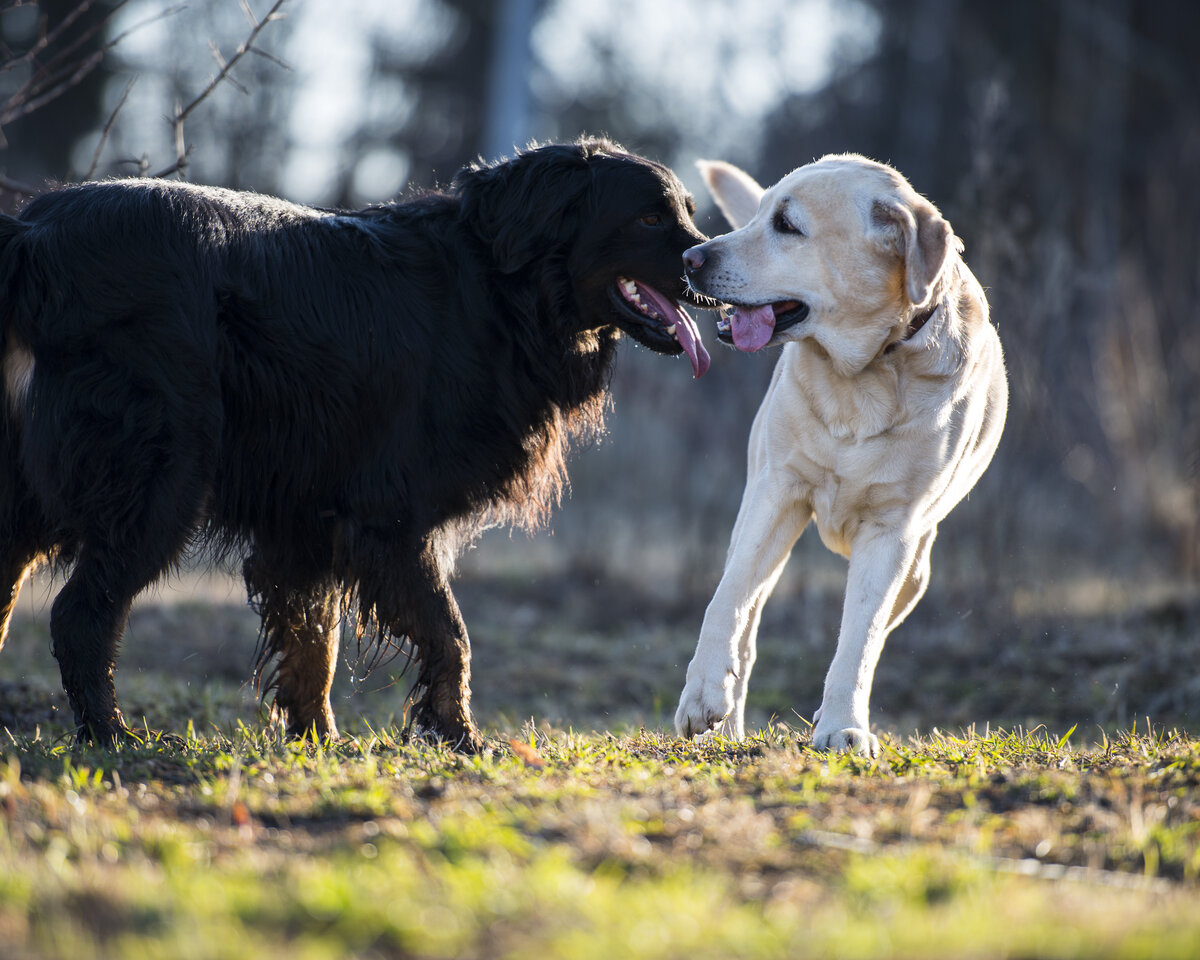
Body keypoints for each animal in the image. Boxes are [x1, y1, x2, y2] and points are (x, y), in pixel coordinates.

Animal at [0, 136, 705, 748]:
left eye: (689, 215)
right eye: (648, 218)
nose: (707, 264)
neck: (500, 295)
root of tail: (34, 236)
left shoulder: (306, 521)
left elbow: (316, 643)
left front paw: (319, 741)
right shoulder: (388, 515)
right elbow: (449, 634)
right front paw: (461, 737)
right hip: (159, 482)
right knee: (81, 615)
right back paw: (112, 735)